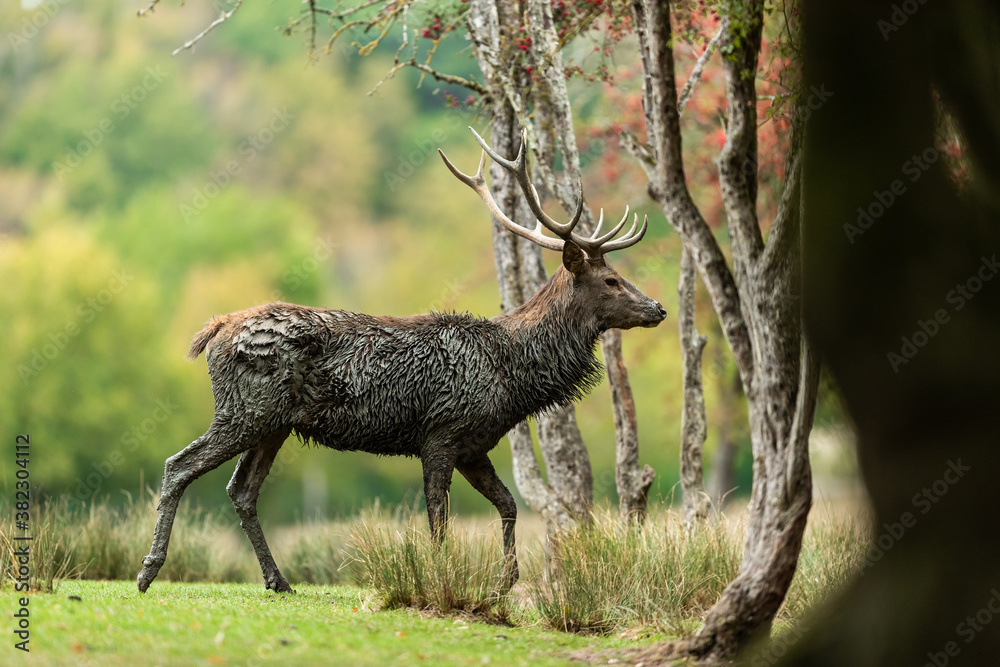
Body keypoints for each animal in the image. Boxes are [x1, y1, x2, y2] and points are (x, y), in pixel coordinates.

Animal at [133, 129, 664, 596]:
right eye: (612, 280)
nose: (658, 308)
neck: (511, 375)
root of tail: (216, 329)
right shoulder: (440, 432)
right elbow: (438, 518)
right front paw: (443, 580)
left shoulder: (474, 445)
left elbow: (509, 504)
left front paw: (505, 582)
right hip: (245, 410)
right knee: (179, 465)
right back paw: (148, 571)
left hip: (274, 424)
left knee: (241, 490)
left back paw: (278, 581)